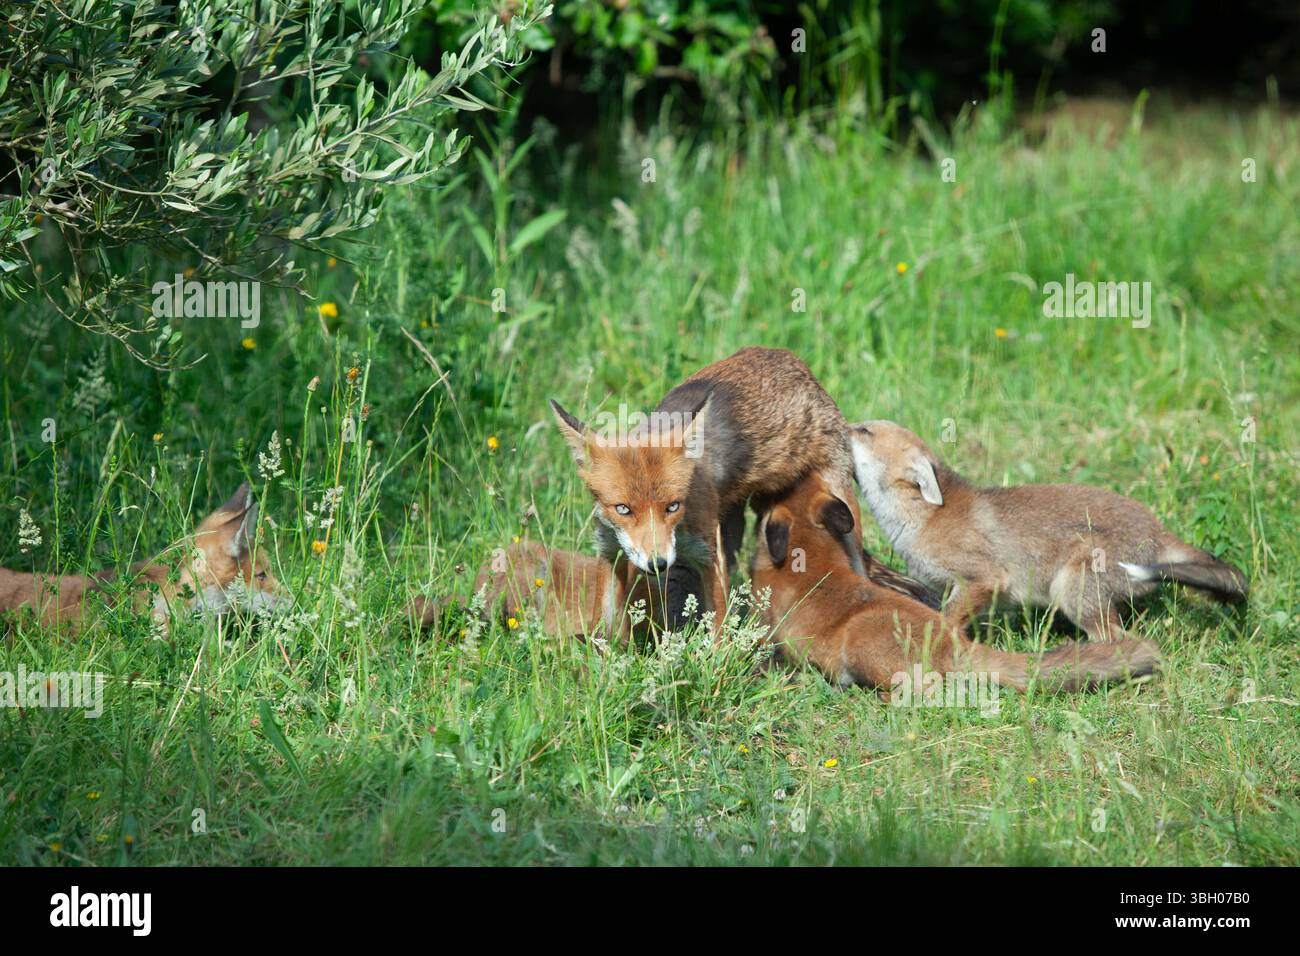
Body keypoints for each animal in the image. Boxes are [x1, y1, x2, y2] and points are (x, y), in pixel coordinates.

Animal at [550, 347, 935, 637]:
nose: (657, 564)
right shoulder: (610, 550)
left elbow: (718, 627)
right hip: (732, 525)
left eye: (673, 506)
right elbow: (606, 625)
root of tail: (792, 360)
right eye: (623, 509)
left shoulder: (708, 555)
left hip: (842, 512)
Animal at [848, 419, 1249, 642]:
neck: (923, 519)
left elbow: (944, 622)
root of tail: (1156, 530)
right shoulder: (961, 590)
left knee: (1113, 636)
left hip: (1070, 587)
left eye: (864, 430)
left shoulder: (985, 578)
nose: (843, 417)